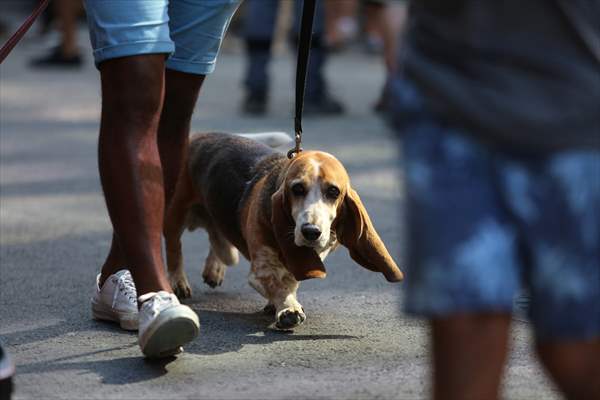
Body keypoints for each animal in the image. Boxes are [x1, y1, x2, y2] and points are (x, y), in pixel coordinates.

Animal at [165, 133, 404, 330]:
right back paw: (178, 282)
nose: (311, 231)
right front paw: (288, 308)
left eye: (333, 191)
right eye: (297, 188)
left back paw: (214, 269)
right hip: (176, 214)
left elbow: (290, 281)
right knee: (174, 249)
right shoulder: (262, 269)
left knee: (218, 239)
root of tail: (197, 135)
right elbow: (279, 285)